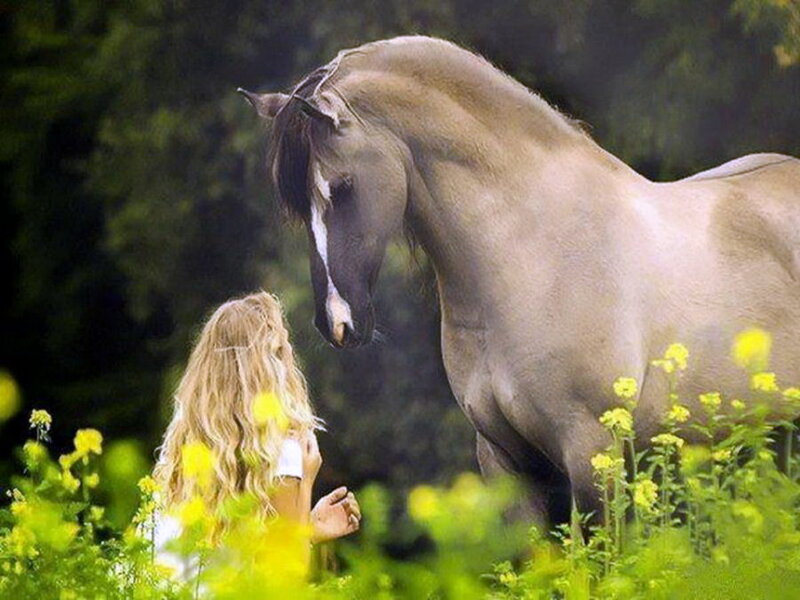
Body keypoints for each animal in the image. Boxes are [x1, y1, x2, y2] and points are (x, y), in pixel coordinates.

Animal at [240, 36, 800, 526]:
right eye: (298, 205)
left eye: (342, 186)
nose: (337, 322)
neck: (529, 253)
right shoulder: (507, 462)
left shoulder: (592, 452)